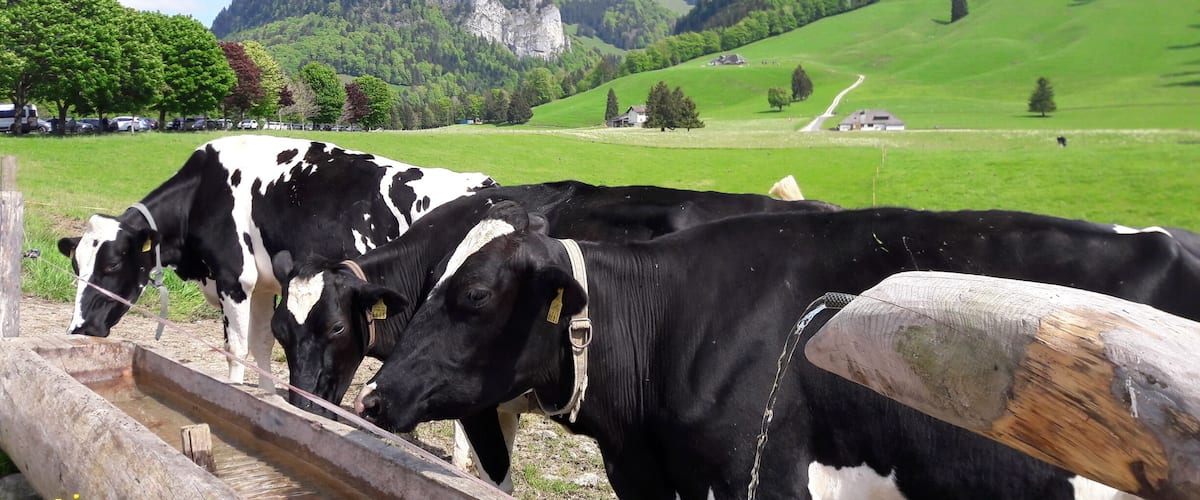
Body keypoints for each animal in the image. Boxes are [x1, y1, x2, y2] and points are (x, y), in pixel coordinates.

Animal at [56, 135, 495, 390]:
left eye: (113, 264)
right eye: (78, 268)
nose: (80, 328)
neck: (203, 192)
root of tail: (485, 182)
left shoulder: (234, 279)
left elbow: (236, 348)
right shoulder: (266, 284)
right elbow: (263, 344)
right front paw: (266, 397)